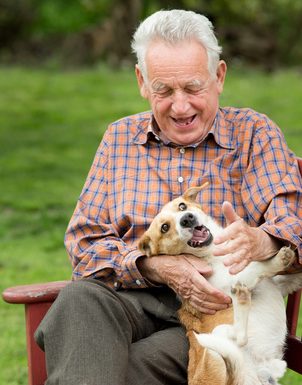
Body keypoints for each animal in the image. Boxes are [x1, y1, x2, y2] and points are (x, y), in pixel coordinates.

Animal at [139, 184, 302, 384]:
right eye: (164, 227)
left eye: (182, 206)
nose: (187, 219)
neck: (214, 252)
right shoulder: (233, 279)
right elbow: (258, 267)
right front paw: (280, 259)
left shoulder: (282, 284)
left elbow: (288, 278)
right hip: (218, 339)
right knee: (238, 336)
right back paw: (241, 298)